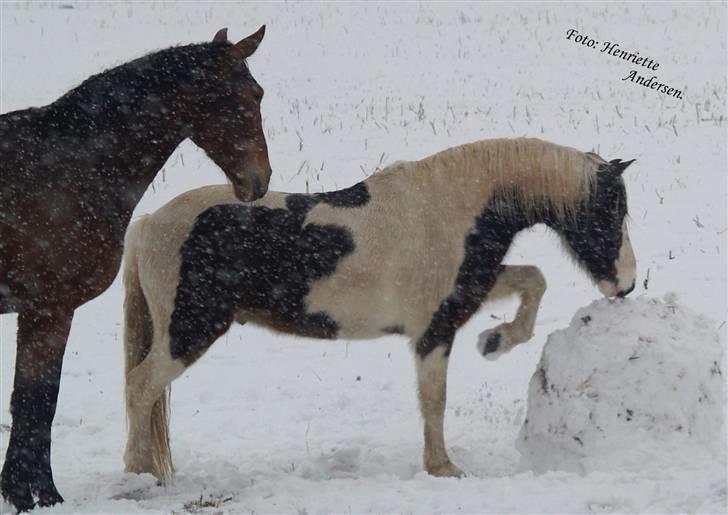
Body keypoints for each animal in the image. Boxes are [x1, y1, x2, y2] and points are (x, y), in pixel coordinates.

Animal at [0, 26, 272, 510]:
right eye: (249, 94)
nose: (260, 180)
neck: (63, 169)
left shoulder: (42, 313)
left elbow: (34, 402)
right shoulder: (49, 310)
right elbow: (37, 402)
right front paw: (37, 495)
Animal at [122, 137, 636, 484]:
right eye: (610, 210)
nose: (626, 284)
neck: (451, 208)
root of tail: (147, 225)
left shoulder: (467, 293)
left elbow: (534, 279)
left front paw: (495, 341)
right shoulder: (435, 329)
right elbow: (434, 400)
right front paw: (443, 467)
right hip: (189, 330)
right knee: (141, 386)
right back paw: (141, 475)